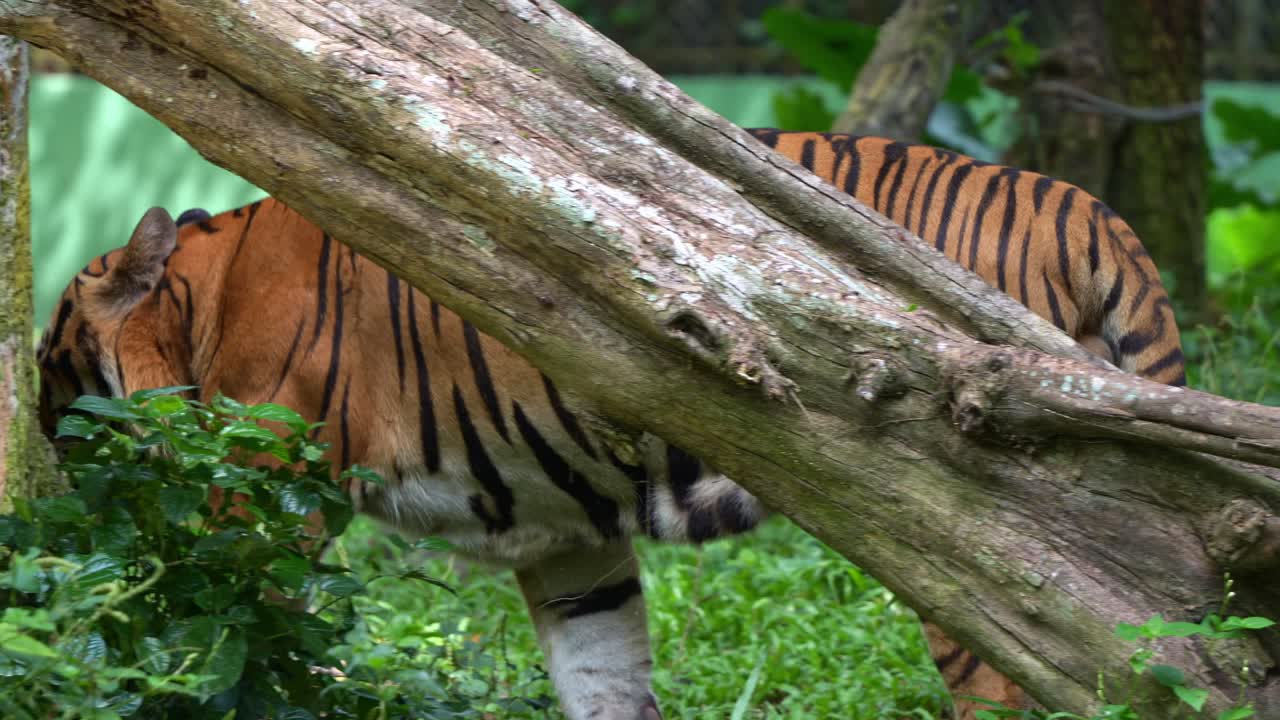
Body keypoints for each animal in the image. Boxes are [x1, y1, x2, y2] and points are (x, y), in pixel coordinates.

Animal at [36, 129, 1183, 720]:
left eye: (50, 358)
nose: (38, 441)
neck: (204, 303)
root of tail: (1090, 217)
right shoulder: (565, 540)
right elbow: (606, 679)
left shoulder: (265, 490)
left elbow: (228, 629)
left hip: (978, 544)